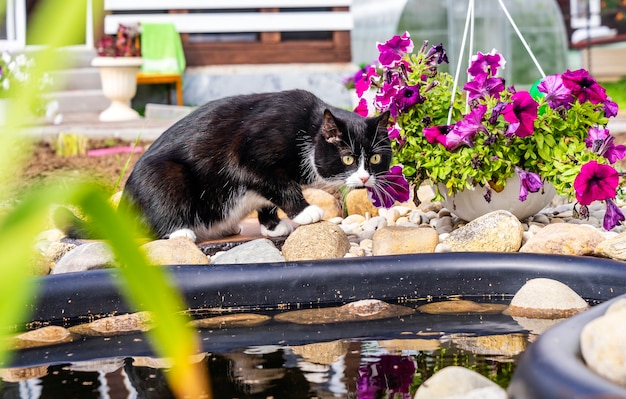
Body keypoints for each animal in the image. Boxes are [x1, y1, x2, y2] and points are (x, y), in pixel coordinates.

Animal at [119, 89, 388, 242]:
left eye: (375, 159)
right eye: (348, 158)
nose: (365, 178)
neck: (309, 131)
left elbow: (268, 196)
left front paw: (273, 226)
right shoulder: (247, 156)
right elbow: (280, 185)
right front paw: (305, 211)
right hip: (164, 175)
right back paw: (180, 232)